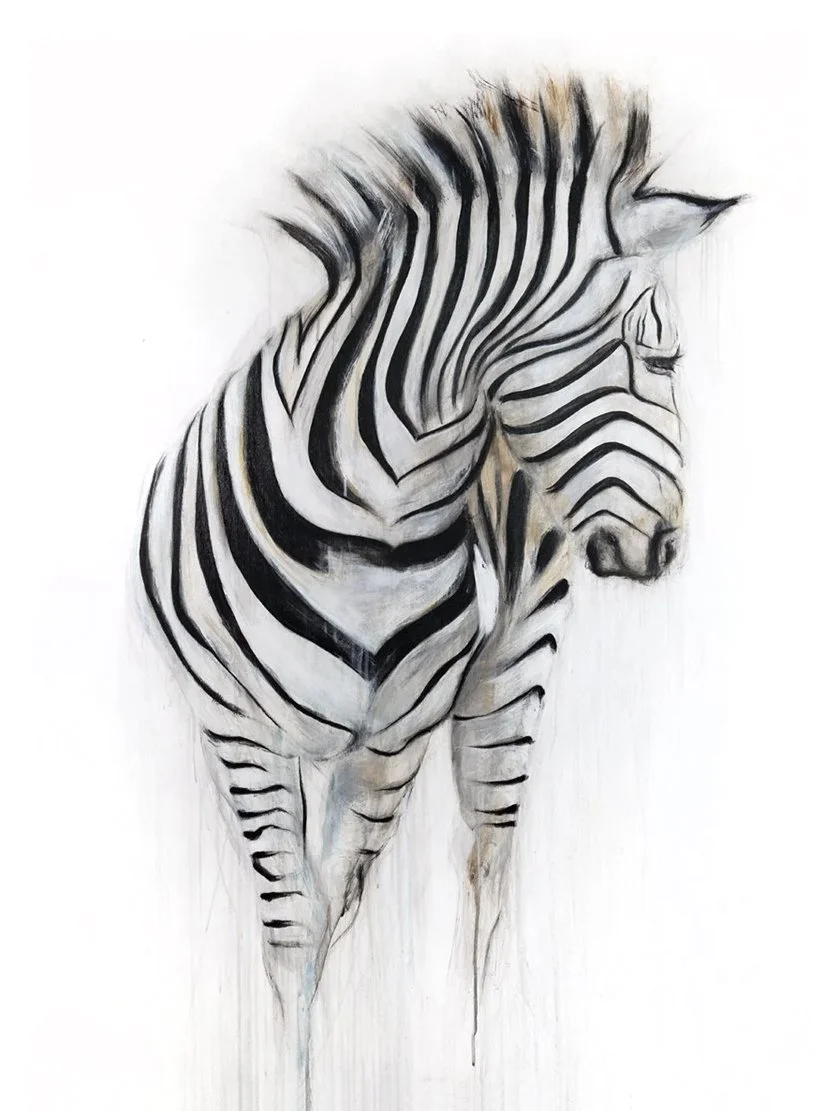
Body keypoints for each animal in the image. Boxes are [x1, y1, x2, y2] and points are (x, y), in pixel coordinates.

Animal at [136, 75, 738, 1106]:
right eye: (660, 360)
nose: (667, 545)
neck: (368, 524)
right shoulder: (237, 728)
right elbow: (294, 930)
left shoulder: (396, 734)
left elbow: (334, 907)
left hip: (507, 676)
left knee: (488, 865)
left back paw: (478, 1058)